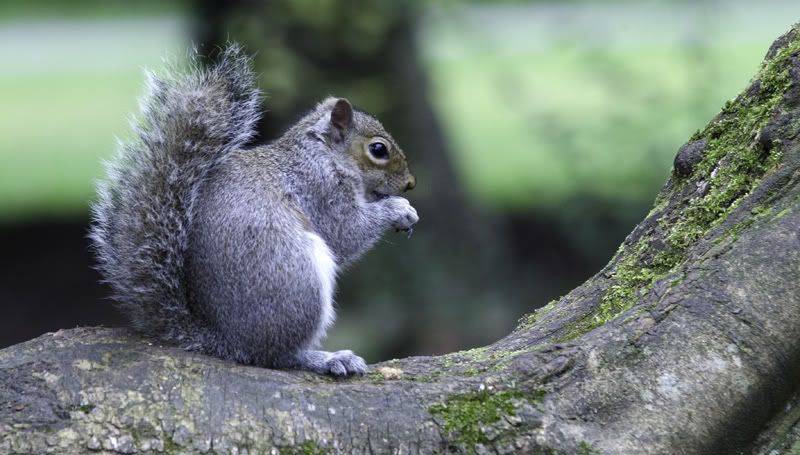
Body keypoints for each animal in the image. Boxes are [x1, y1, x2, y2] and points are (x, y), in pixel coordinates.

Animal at [89, 46, 418, 376]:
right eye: (378, 150)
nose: (410, 184)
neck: (322, 154)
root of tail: (227, 341)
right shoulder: (319, 190)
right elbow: (345, 232)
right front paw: (398, 209)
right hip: (296, 281)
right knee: (276, 357)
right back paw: (326, 359)